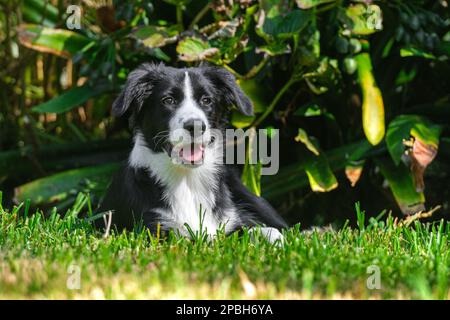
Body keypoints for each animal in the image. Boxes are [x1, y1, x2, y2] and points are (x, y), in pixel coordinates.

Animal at [98, 62, 288, 242]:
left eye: (206, 100)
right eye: (168, 100)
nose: (195, 126)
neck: (187, 179)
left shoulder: (229, 222)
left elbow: (258, 230)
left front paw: (273, 238)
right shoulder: (155, 229)